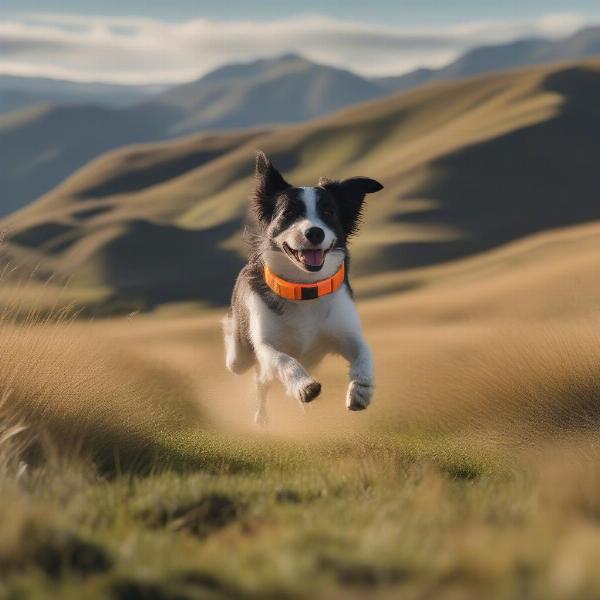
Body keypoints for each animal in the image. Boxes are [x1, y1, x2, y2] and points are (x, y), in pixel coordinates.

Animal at [224, 152, 384, 424]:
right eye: (288, 213)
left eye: (329, 211)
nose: (315, 232)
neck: (305, 288)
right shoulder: (266, 345)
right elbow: (284, 360)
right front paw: (304, 386)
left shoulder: (345, 333)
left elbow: (365, 352)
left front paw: (361, 390)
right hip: (241, 355)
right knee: (248, 372)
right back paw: (261, 416)